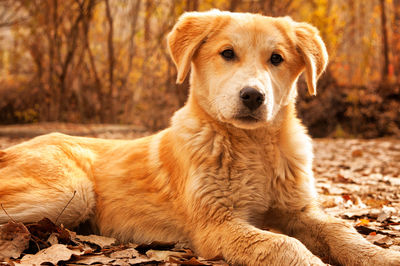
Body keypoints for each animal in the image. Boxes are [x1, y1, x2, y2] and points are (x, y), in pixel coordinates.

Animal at [0, 9, 400, 264]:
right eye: (227, 53)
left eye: (276, 58)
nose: (253, 96)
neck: (253, 148)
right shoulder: (216, 224)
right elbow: (285, 247)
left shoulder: (300, 210)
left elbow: (343, 233)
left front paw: (383, 255)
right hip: (71, 191)